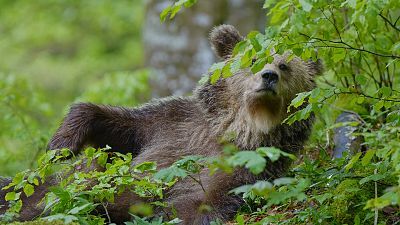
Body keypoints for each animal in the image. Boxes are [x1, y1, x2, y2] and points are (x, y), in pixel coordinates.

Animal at [0, 24, 322, 223]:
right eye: (253, 59)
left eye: (284, 65)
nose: (269, 76)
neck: (240, 126)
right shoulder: (171, 124)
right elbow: (114, 126)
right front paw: (61, 145)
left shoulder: (247, 166)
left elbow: (199, 201)